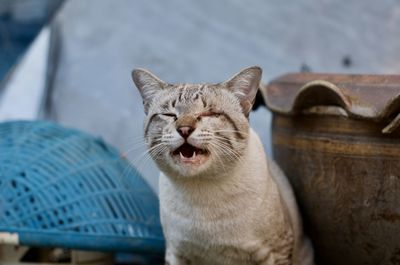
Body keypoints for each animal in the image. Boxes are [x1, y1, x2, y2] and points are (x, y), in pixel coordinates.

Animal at [131, 66, 312, 264]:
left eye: (208, 114)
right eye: (170, 115)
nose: (184, 129)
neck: (201, 188)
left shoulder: (276, 251)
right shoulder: (176, 253)